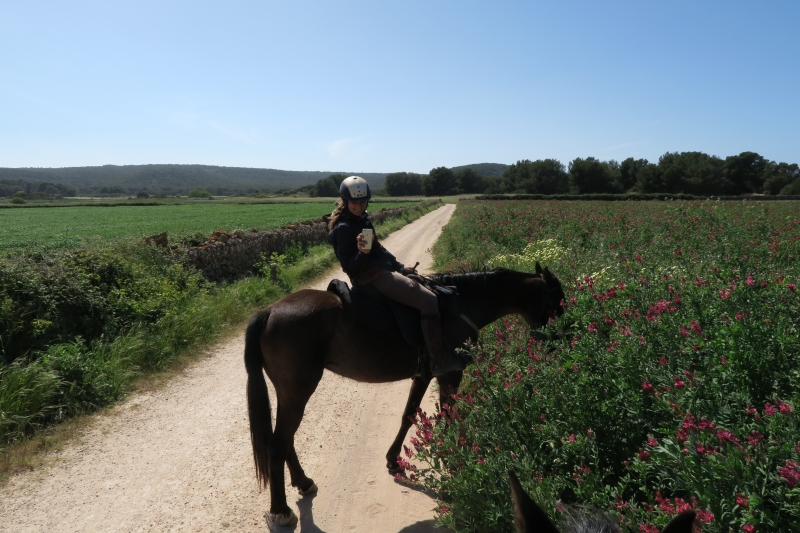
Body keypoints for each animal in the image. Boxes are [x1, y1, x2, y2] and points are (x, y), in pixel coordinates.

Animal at [247, 262, 564, 524]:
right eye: (558, 300)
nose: (558, 342)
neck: (463, 303)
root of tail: (268, 312)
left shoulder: (423, 375)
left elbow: (409, 414)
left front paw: (393, 460)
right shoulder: (450, 373)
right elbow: (448, 415)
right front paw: (452, 458)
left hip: (289, 393)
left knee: (284, 440)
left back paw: (303, 482)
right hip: (298, 391)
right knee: (278, 444)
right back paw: (281, 510)